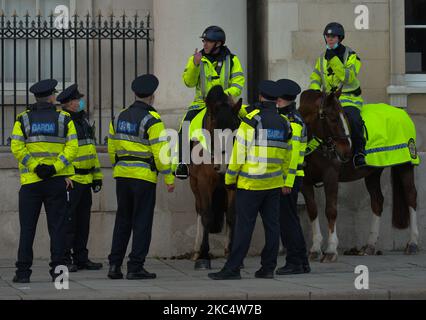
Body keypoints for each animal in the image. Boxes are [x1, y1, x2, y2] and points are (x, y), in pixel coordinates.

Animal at [188, 85, 241, 270]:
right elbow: (207, 215)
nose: (225, 165)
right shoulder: (204, 182)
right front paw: (204, 256)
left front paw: (231, 254)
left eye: (236, 126)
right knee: (199, 209)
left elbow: (232, 215)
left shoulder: (232, 184)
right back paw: (197, 251)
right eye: (215, 125)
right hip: (194, 184)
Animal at [300, 88, 420, 262]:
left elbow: (331, 210)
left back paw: (413, 243)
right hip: (373, 172)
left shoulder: (331, 177)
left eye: (344, 116)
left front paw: (331, 249)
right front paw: (315, 249)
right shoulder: (305, 182)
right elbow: (312, 211)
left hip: (405, 165)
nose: (346, 150)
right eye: (333, 118)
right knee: (377, 201)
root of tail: (401, 112)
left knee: (411, 197)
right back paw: (370, 245)